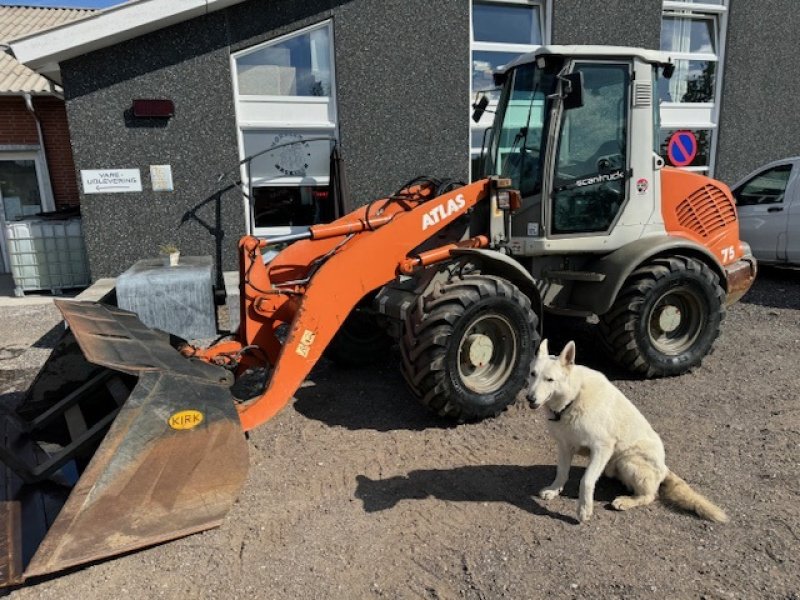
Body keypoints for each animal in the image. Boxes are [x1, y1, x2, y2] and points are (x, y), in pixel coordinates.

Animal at [528, 340, 728, 524]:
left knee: (650, 496)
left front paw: (584, 509)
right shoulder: (564, 445)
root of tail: (664, 468)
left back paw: (626, 501)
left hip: (627, 462)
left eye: (549, 380)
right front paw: (554, 490)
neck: (573, 398)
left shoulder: (602, 448)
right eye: (533, 374)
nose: (529, 398)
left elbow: (586, 480)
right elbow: (562, 472)